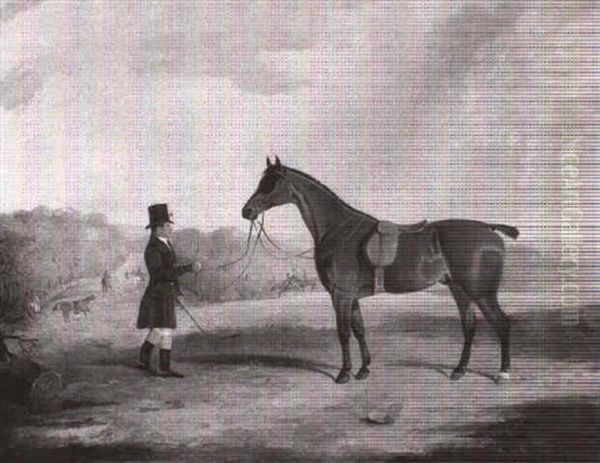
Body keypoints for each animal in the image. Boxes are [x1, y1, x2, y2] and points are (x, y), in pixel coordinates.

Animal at [241, 158, 516, 386]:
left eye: (271, 183)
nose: (247, 211)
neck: (337, 229)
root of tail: (490, 229)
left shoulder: (340, 295)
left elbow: (343, 332)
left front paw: (344, 373)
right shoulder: (352, 297)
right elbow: (359, 329)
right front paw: (364, 370)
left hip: (481, 293)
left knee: (502, 323)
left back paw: (502, 373)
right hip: (460, 290)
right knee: (469, 327)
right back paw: (459, 370)